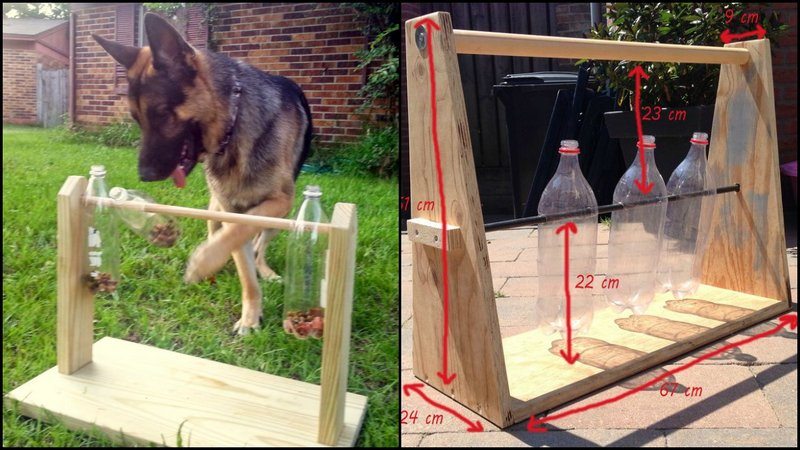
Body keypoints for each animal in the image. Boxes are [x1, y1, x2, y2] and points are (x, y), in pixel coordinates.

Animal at [94, 13, 312, 334]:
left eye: (162, 114)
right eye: (137, 119)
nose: (144, 175)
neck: (233, 127)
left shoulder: (279, 201)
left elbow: (243, 233)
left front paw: (203, 262)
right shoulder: (231, 210)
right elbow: (239, 254)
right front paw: (250, 315)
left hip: (283, 216)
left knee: (261, 244)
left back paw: (264, 269)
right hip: (215, 210)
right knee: (223, 233)